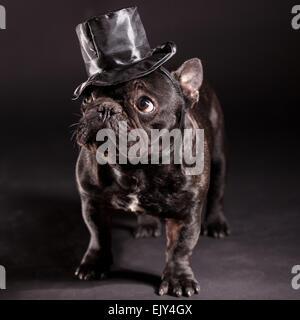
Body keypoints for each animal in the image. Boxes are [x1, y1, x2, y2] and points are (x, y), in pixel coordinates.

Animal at [74, 58, 229, 298]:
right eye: (88, 99)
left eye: (144, 104)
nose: (105, 107)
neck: (136, 167)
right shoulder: (93, 202)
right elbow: (98, 235)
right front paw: (95, 264)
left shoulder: (186, 213)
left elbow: (180, 247)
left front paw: (178, 279)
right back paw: (147, 223)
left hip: (219, 156)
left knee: (217, 192)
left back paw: (216, 223)